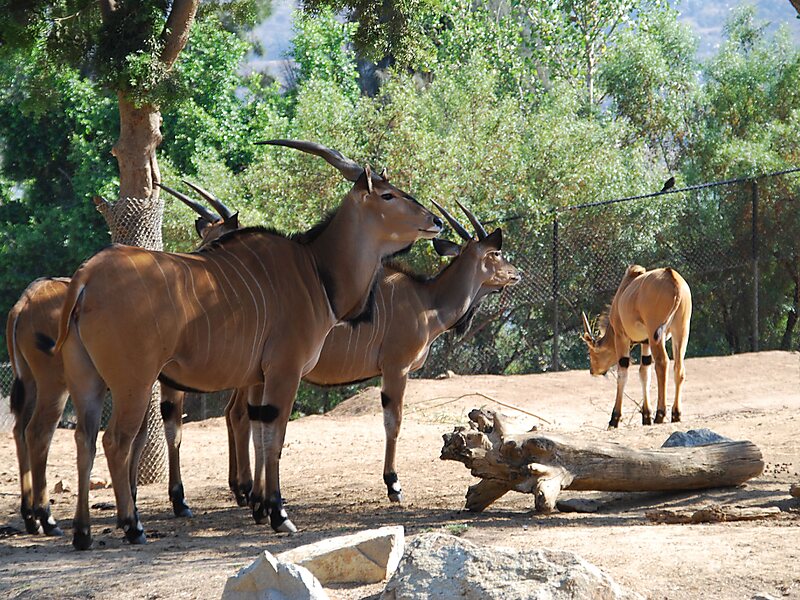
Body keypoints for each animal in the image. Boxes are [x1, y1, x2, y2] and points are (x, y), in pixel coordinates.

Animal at [6, 186, 239, 536]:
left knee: (21, 429)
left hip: (35, 384)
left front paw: (131, 501)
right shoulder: (164, 384)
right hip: (55, 385)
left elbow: (140, 436)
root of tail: (24, 302)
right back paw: (47, 517)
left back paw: (31, 517)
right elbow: (171, 432)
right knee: (38, 432)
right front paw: (177, 501)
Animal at [48, 139, 444, 548]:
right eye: (388, 194)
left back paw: (82, 532)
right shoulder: (284, 372)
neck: (315, 270)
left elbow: (257, 433)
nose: (437, 221)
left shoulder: (257, 379)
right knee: (116, 441)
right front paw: (278, 514)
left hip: (89, 381)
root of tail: (87, 276)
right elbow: (275, 438)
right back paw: (133, 525)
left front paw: (259, 507)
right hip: (135, 383)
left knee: (84, 439)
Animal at [206, 200, 520, 506]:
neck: (426, 302)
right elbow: (393, 422)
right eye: (496, 252)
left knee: (237, 414)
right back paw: (245, 490)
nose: (517, 273)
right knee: (241, 416)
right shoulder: (396, 368)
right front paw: (393, 485)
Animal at [580, 264, 692, 428]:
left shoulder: (621, 337)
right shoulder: (646, 342)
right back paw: (676, 414)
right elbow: (644, 373)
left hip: (657, 335)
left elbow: (623, 374)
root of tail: (673, 278)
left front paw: (614, 418)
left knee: (662, 363)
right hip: (681, 332)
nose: (592, 371)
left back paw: (660, 414)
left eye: (591, 352)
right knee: (679, 367)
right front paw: (646, 416)